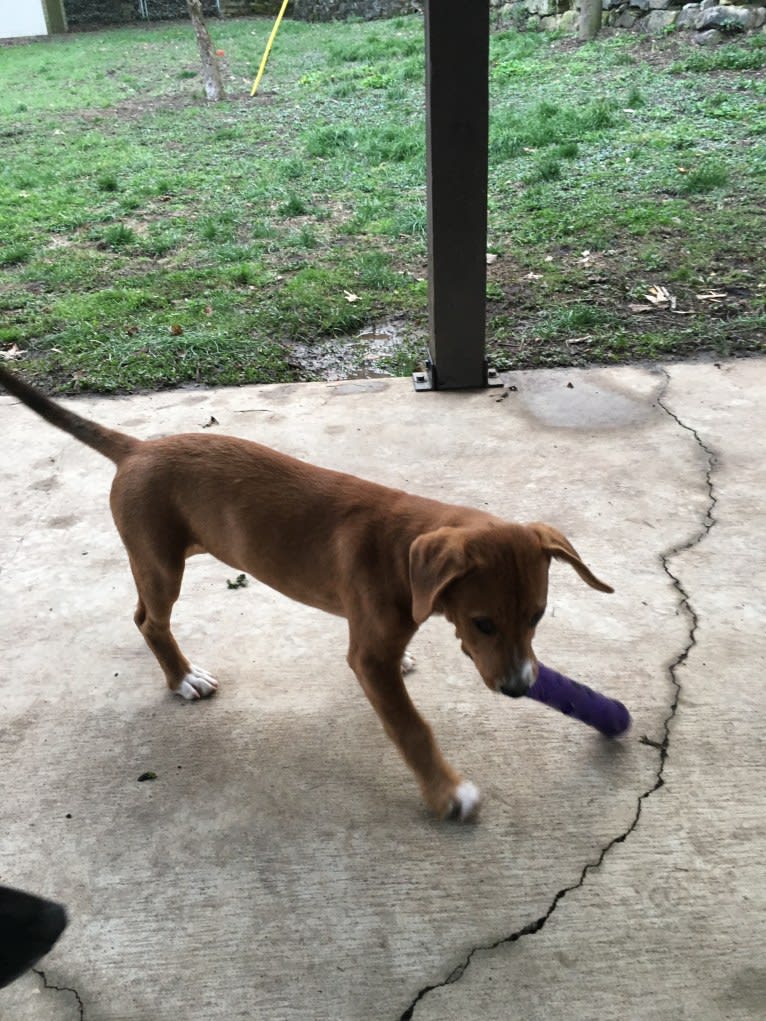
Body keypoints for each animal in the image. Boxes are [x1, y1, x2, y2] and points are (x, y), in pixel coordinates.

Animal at [0, 367, 612, 820]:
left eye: (537, 617)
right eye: (484, 623)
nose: (520, 688)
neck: (401, 548)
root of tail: (136, 449)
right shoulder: (368, 661)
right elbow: (412, 728)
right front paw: (447, 793)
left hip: (156, 561)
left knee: (139, 614)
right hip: (161, 563)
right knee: (152, 620)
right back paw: (182, 678)